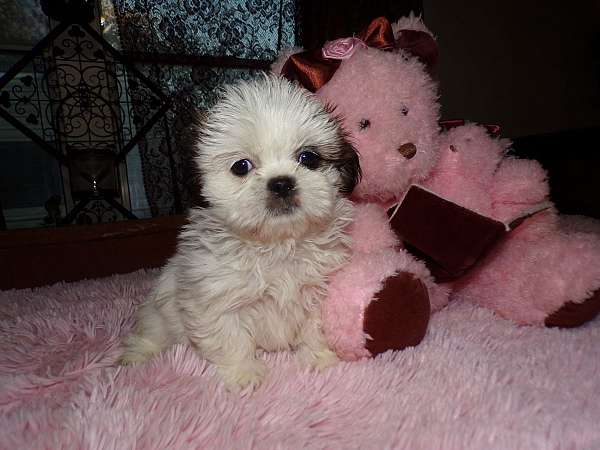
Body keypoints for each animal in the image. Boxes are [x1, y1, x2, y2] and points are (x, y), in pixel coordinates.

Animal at [119, 74, 358, 390]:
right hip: (158, 315)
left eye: (308, 158)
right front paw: (243, 374)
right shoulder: (215, 299)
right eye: (241, 166)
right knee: (151, 334)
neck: (276, 245)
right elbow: (229, 338)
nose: (281, 183)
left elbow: (314, 328)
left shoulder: (318, 290)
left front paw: (319, 358)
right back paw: (135, 358)